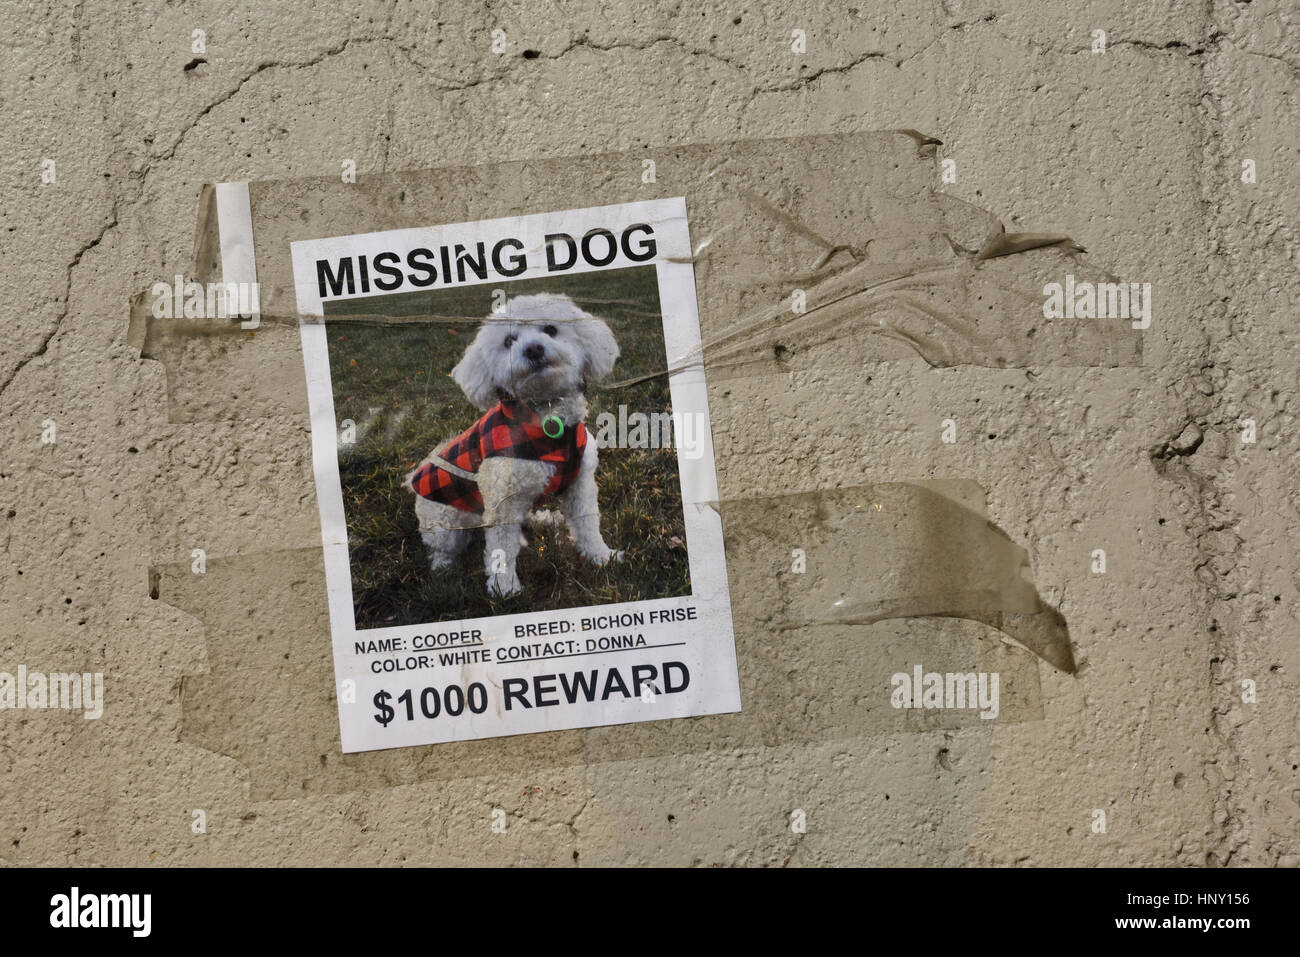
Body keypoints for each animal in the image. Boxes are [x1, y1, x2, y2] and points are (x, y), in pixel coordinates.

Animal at [408, 291, 626, 595]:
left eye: (551, 329)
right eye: (509, 341)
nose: (533, 349)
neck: (547, 421)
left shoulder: (580, 485)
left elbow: (588, 525)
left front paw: (601, 556)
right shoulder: (503, 503)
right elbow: (502, 547)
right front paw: (504, 588)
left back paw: (544, 519)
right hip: (443, 522)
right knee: (442, 548)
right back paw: (443, 570)